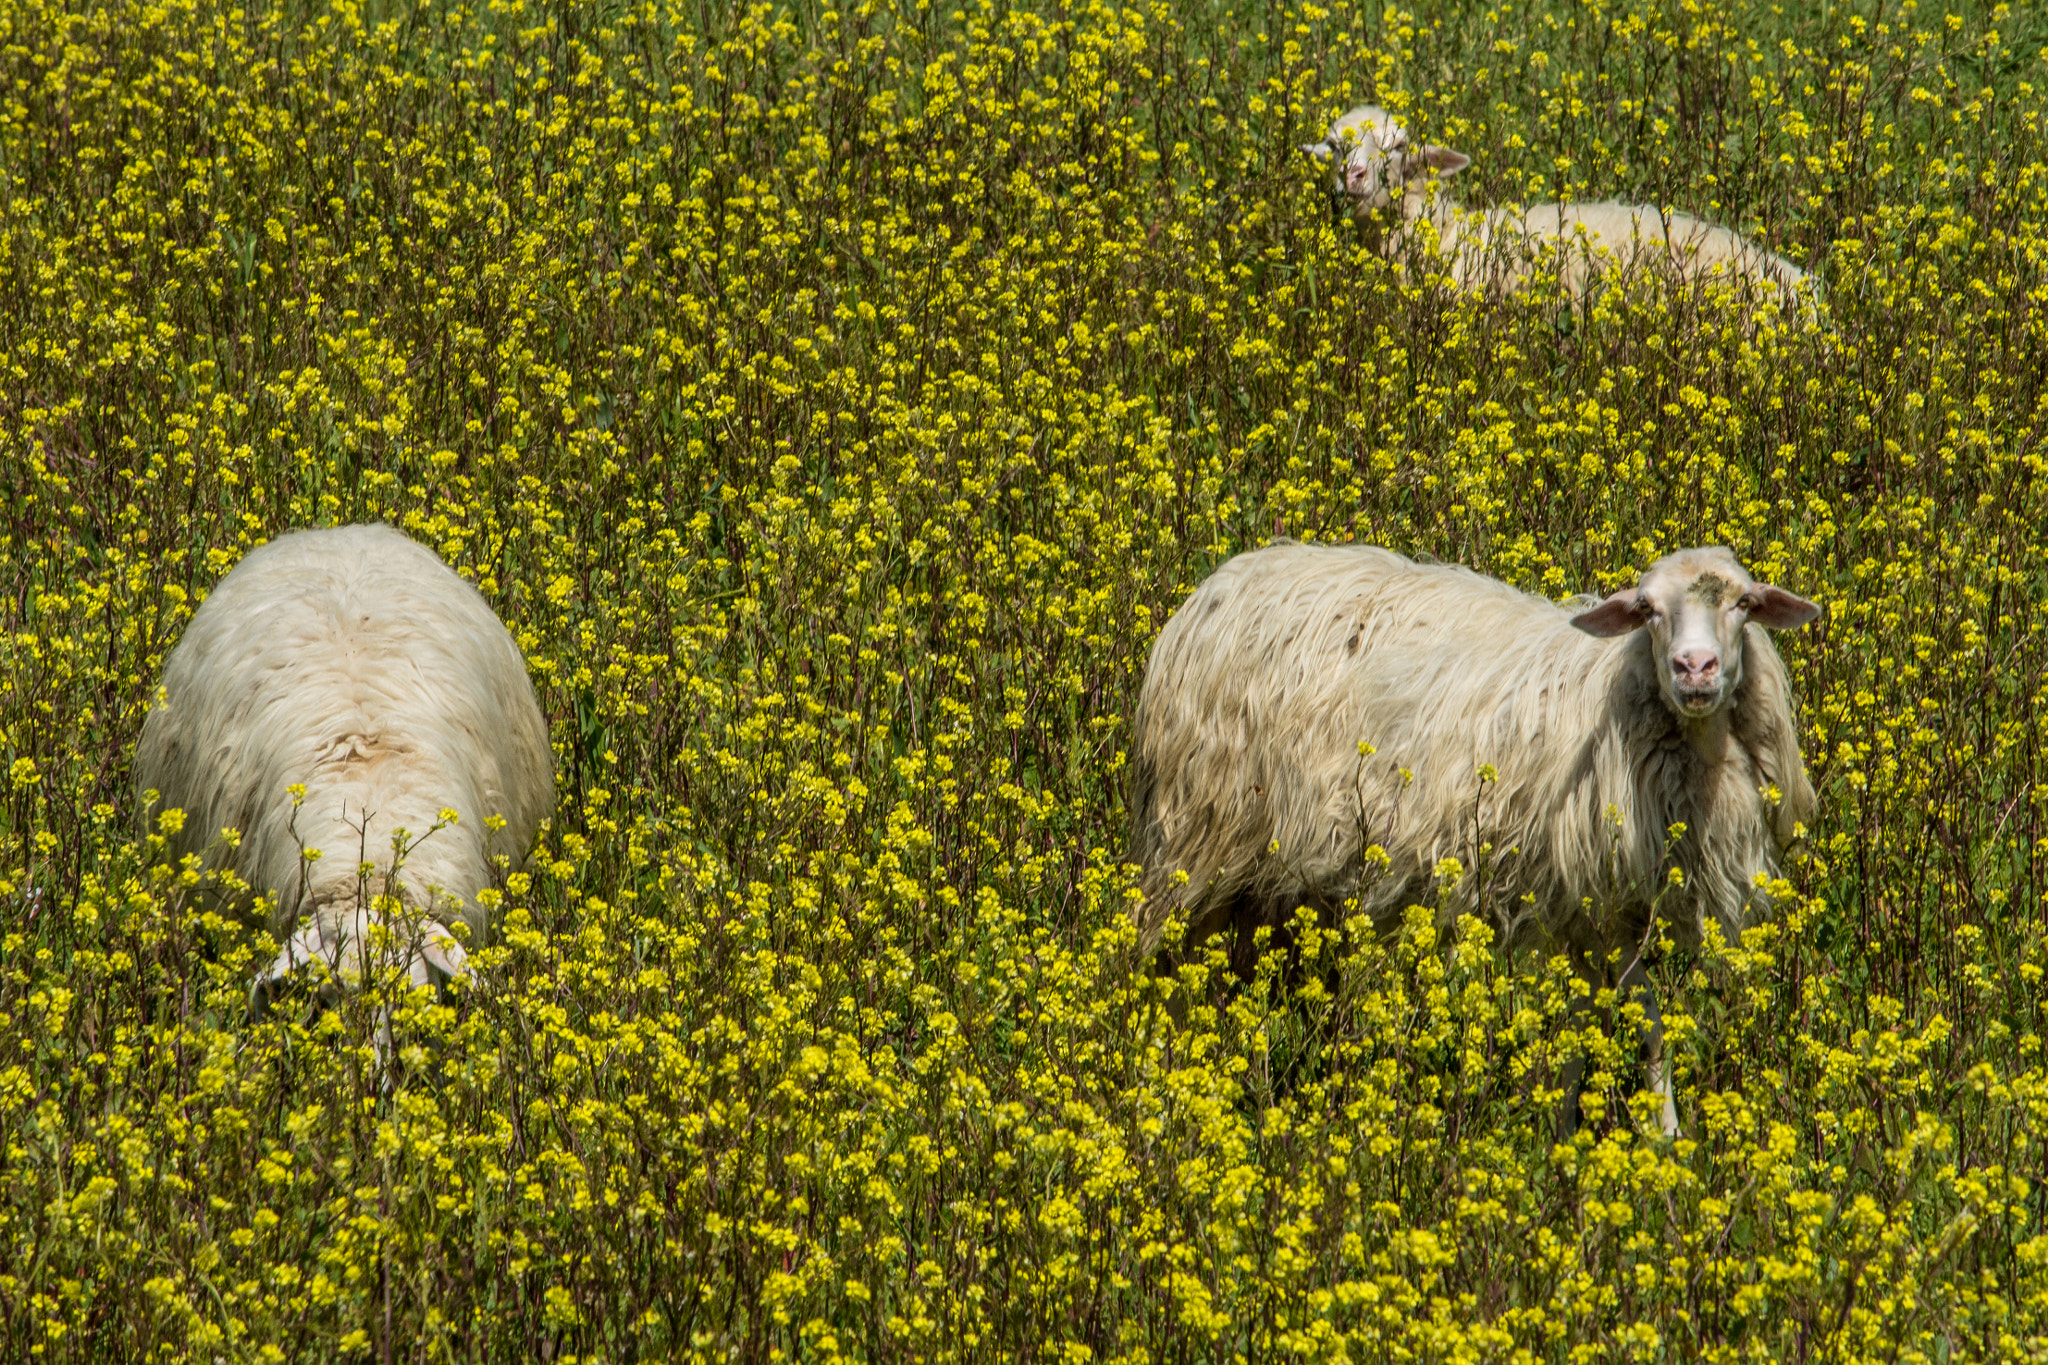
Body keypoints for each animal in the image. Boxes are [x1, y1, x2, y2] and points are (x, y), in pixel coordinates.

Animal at [1138, 540, 1826, 1129]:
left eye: (1743, 603)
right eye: (1647, 610)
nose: (1695, 668)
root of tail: (1217, 587)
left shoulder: (1602, 908)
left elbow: (1601, 1019)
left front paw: (1583, 1131)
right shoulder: (1583, 902)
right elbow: (1634, 1018)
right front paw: (1651, 1138)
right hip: (1198, 842)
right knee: (1167, 969)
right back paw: (1166, 1090)